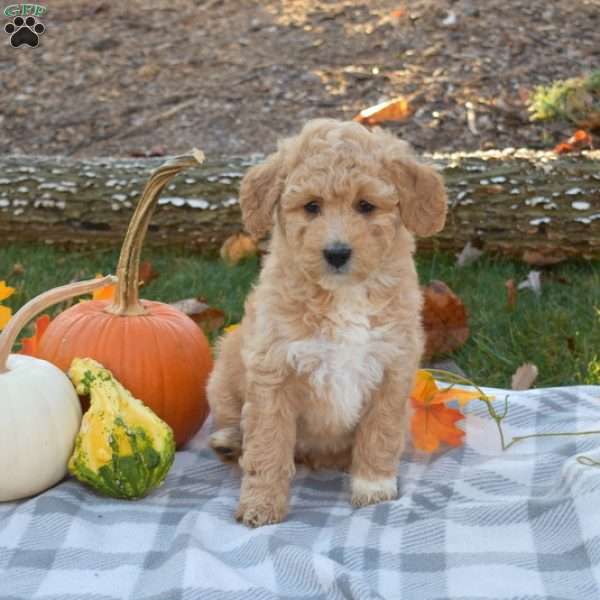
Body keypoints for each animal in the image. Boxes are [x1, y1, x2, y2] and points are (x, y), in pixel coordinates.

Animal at [206, 119, 446, 528]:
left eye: (365, 206)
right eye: (311, 207)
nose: (336, 253)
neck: (342, 295)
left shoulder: (392, 367)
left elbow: (380, 432)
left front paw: (373, 487)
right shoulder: (273, 371)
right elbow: (268, 444)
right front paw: (261, 505)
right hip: (223, 377)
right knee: (234, 421)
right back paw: (229, 441)